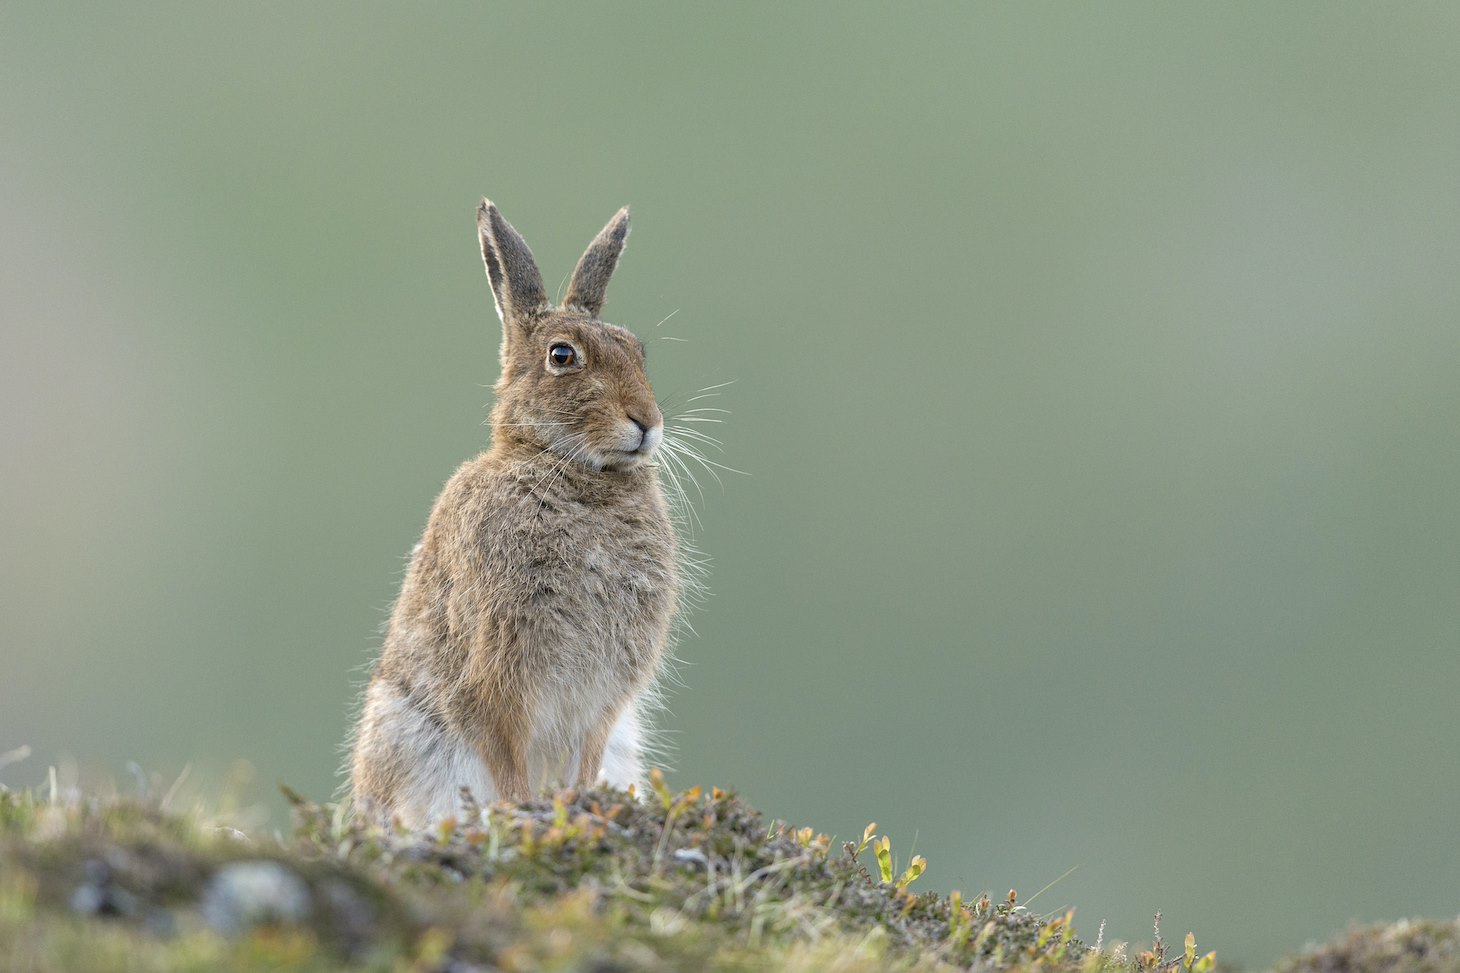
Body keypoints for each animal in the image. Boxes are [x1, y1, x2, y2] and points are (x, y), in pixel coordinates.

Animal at [349, 198, 680, 829]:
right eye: (562, 356)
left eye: (638, 352)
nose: (647, 422)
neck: (566, 473)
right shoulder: (497, 668)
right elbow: (504, 749)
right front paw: (523, 808)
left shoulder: (605, 696)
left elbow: (586, 751)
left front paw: (576, 802)